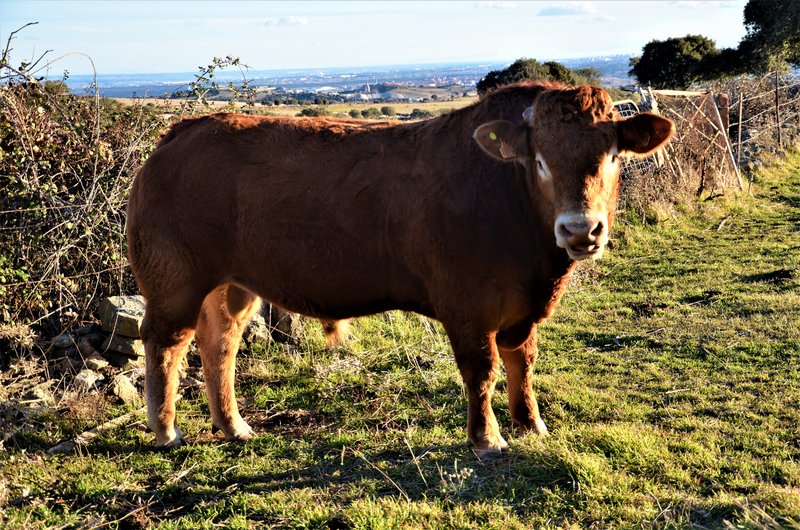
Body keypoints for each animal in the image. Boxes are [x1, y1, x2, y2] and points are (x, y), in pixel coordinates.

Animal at [126, 81, 676, 454]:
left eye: (612, 154)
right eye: (539, 159)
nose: (581, 230)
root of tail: (184, 131)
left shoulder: (524, 307)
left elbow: (522, 360)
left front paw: (531, 424)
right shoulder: (467, 305)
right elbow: (482, 369)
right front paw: (487, 438)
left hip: (233, 284)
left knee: (220, 341)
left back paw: (234, 426)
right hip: (174, 280)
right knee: (166, 342)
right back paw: (166, 429)